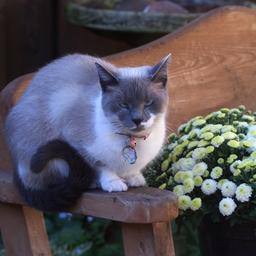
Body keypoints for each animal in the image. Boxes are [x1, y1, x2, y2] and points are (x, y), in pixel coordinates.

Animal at [4, 53, 171, 211]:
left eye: (148, 103)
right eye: (123, 105)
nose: (137, 119)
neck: (132, 140)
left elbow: (133, 171)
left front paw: (135, 179)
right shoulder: (78, 144)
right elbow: (101, 165)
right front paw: (113, 183)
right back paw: (92, 183)